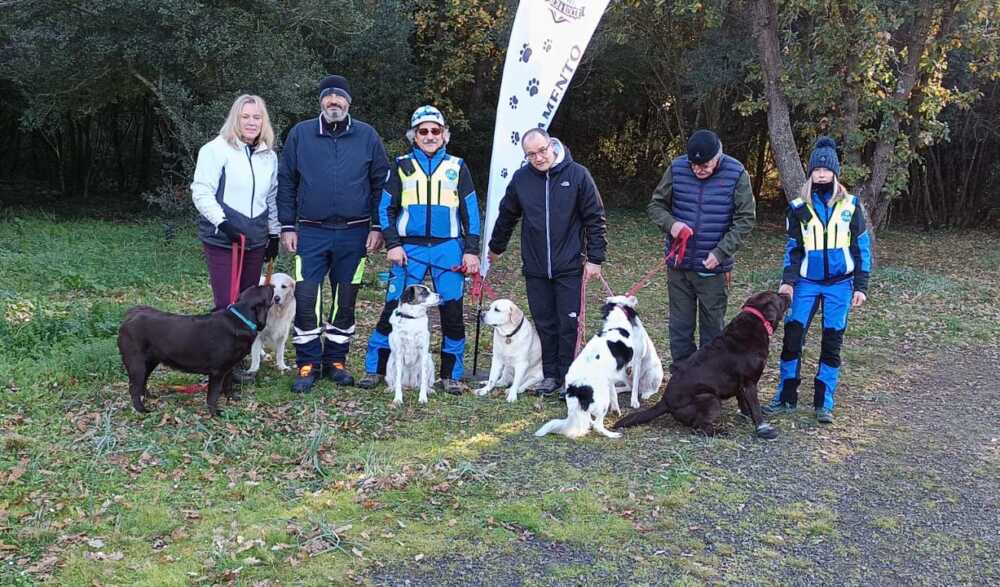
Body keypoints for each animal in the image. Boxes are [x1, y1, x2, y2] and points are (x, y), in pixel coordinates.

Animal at [116, 286, 274, 418]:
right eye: (265, 290)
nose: (271, 284)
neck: (240, 319)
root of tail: (129, 316)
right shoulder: (217, 372)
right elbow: (213, 395)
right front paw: (215, 412)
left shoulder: (228, 368)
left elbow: (228, 385)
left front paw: (231, 398)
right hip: (137, 364)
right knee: (134, 388)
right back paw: (141, 409)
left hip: (150, 362)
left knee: (142, 382)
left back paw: (149, 397)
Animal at [608, 292, 788, 438]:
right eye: (777, 296)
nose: (787, 292)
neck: (757, 322)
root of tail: (665, 401)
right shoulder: (749, 383)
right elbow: (755, 407)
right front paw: (762, 427)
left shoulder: (741, 385)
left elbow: (743, 403)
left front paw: (746, 415)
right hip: (711, 399)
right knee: (699, 426)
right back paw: (719, 432)